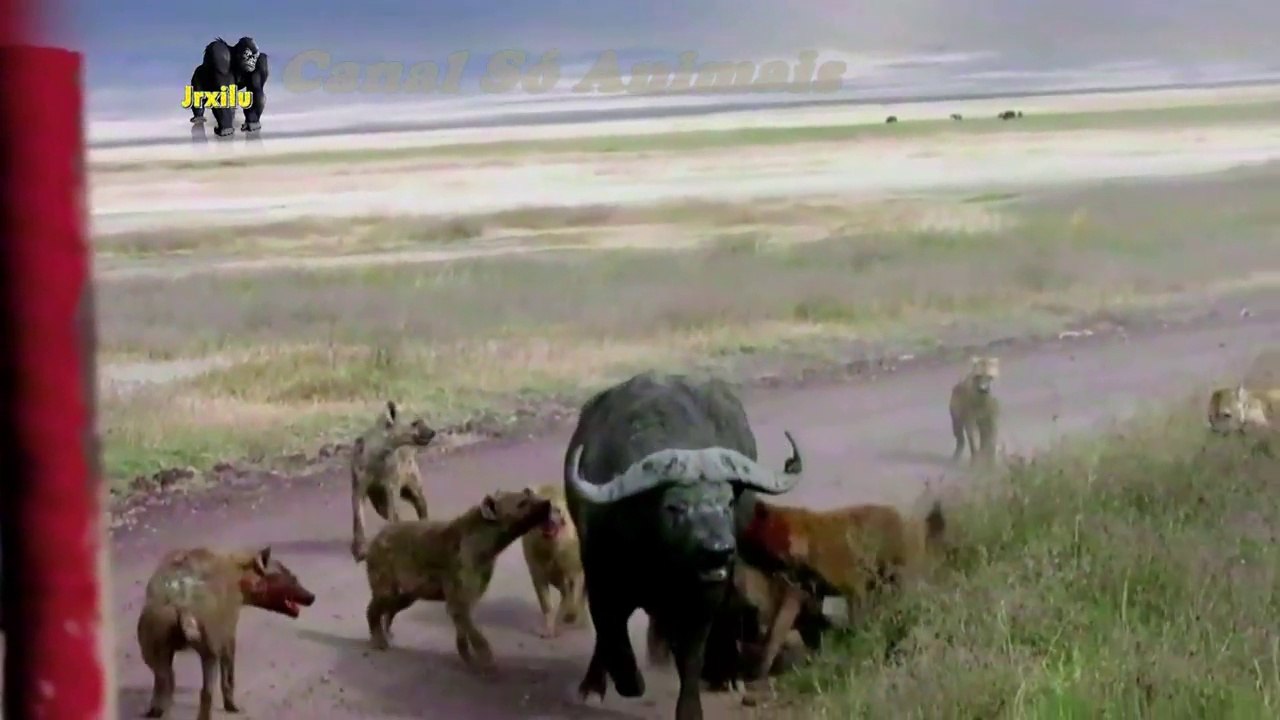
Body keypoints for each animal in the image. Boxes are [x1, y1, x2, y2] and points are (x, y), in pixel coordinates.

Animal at [563, 371, 803, 720]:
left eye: (728, 503)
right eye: (675, 507)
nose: (718, 549)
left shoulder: (702, 601)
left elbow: (691, 654)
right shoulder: (600, 579)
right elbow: (611, 632)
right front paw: (626, 682)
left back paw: (724, 673)